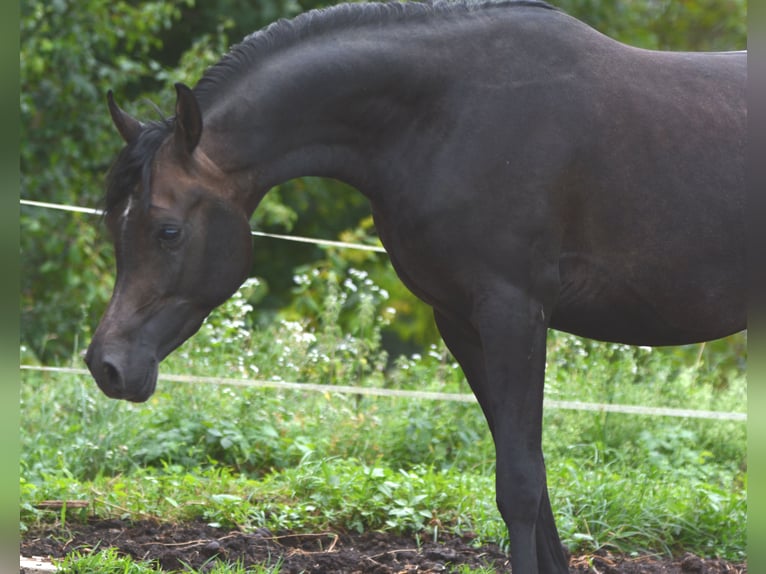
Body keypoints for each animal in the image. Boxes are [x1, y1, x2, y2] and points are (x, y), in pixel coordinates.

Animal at [85, 2, 746, 571]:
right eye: (113, 223)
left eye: (167, 230)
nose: (106, 366)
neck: (447, 116)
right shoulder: (462, 321)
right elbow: (528, 476)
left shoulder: (514, 313)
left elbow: (519, 484)